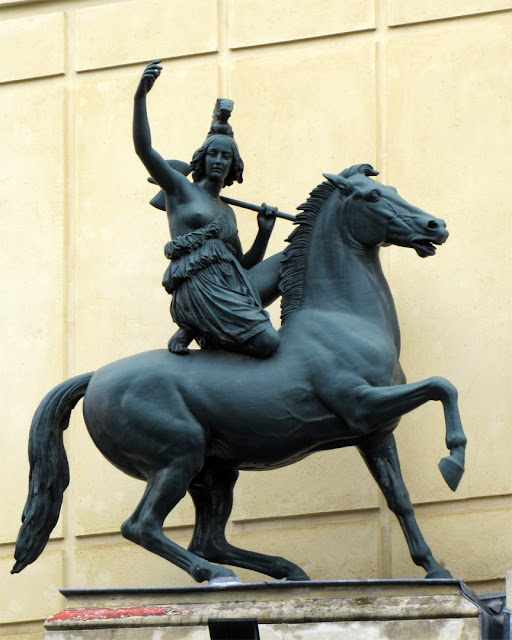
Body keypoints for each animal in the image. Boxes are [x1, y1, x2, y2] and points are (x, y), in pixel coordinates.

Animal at [13, 164, 468, 584]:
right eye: (373, 197)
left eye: (393, 190)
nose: (437, 226)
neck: (343, 318)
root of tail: (95, 377)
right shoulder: (361, 405)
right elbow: (443, 386)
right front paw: (453, 464)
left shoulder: (375, 433)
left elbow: (399, 497)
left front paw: (434, 569)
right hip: (178, 458)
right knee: (142, 527)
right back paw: (217, 576)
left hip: (214, 471)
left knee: (208, 539)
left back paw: (287, 570)